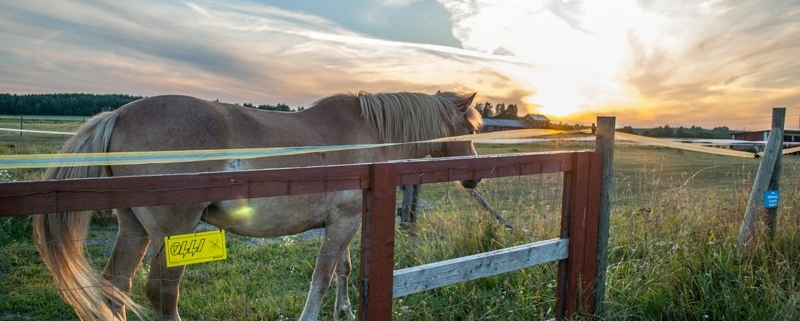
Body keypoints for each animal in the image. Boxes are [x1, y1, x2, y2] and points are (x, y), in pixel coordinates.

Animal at [32, 90, 482, 320]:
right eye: (471, 128)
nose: (475, 175)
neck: (369, 134)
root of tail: (120, 113)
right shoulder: (342, 223)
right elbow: (321, 277)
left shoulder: (345, 222)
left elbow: (343, 269)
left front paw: (345, 312)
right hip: (172, 234)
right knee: (161, 292)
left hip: (134, 228)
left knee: (116, 286)